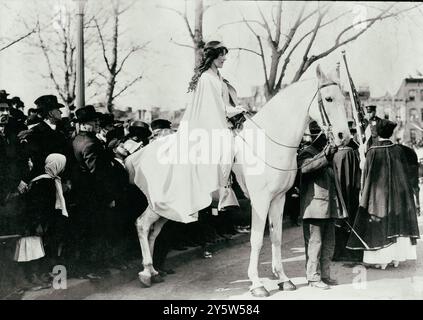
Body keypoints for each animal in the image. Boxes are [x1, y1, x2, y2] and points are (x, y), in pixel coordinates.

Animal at [132, 65, 352, 298]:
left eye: (344, 97)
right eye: (328, 98)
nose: (344, 136)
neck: (267, 142)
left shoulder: (278, 199)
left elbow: (276, 237)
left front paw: (283, 279)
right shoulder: (260, 201)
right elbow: (257, 240)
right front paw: (257, 284)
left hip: (170, 208)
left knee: (153, 231)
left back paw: (153, 272)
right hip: (161, 204)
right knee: (142, 225)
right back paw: (146, 273)